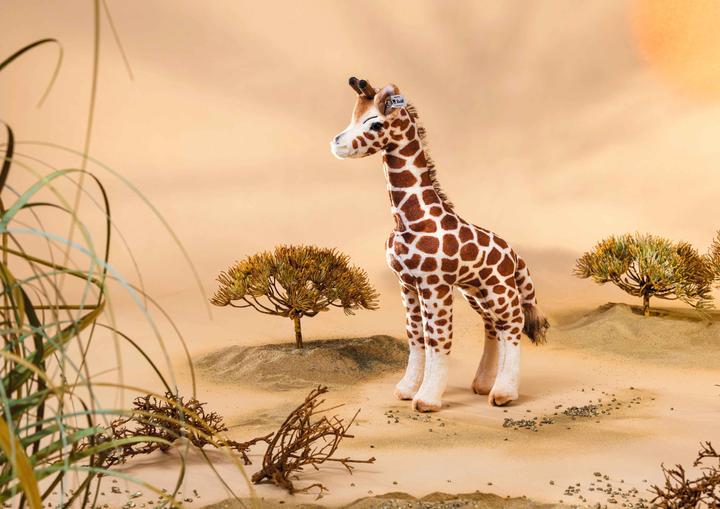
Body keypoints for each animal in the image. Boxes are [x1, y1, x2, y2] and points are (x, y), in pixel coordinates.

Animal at [330, 77, 549, 412]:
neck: (409, 220)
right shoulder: (407, 284)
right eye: (353, 117)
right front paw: (407, 389)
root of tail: (515, 256)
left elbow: (439, 339)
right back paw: (483, 384)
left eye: (375, 123)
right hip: (475, 291)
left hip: (500, 290)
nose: (337, 143)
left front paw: (428, 399)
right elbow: (416, 336)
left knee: (512, 324)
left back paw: (503, 393)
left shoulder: (434, 285)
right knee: (493, 326)